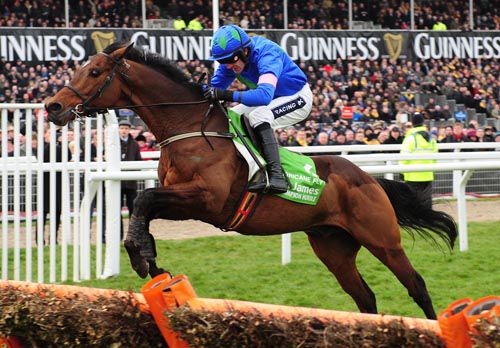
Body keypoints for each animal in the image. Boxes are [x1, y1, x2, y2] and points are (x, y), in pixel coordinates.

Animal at [45, 42, 456, 320]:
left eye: (95, 72)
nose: (53, 106)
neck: (188, 131)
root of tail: (369, 179)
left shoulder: (206, 200)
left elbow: (144, 202)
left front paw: (142, 256)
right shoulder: (184, 201)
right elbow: (144, 207)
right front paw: (147, 257)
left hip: (383, 240)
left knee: (416, 285)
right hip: (333, 246)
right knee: (365, 298)